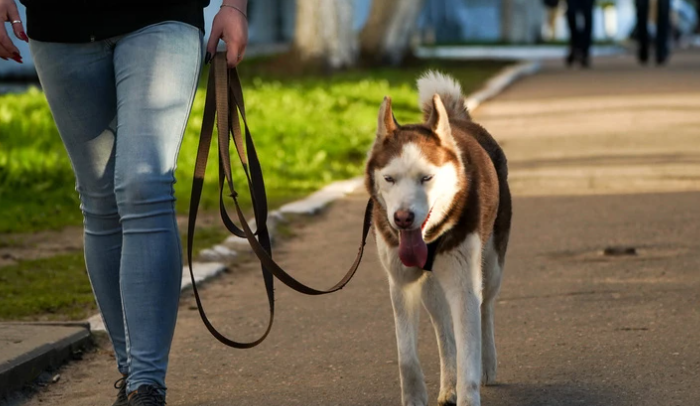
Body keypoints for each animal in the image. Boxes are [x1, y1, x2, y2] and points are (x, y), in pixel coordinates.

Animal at [364, 71, 512, 404]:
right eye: (389, 178)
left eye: (426, 178)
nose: (402, 218)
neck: (431, 236)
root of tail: (458, 120)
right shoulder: (401, 284)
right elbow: (407, 357)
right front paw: (416, 397)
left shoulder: (463, 285)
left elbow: (469, 352)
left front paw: (468, 391)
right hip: (431, 288)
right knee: (444, 332)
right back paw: (447, 386)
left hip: (491, 265)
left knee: (486, 308)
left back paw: (488, 363)